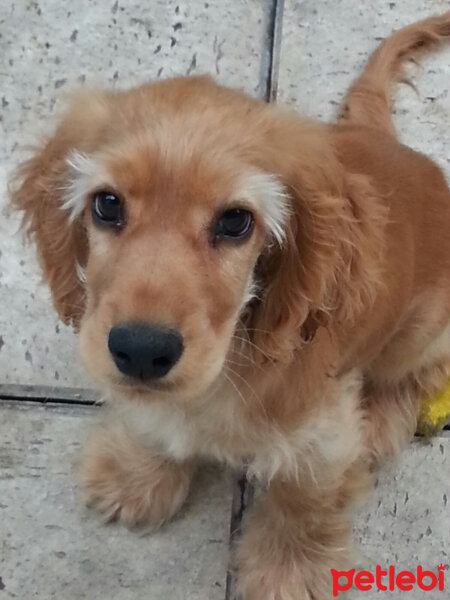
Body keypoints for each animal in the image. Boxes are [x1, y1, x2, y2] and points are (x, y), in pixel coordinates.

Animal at [9, 12, 450, 600]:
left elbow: (304, 498)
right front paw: (136, 474)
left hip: (419, 330)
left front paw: (288, 571)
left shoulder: (323, 432)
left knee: (423, 368)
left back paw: (379, 418)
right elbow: (157, 421)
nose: (141, 350)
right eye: (106, 205)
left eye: (235, 221)